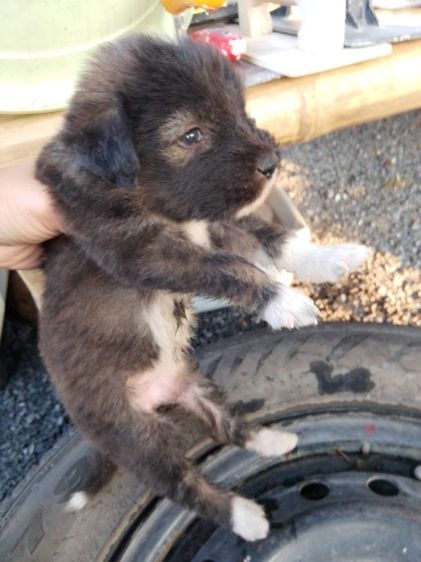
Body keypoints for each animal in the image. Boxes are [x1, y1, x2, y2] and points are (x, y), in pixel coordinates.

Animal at [36, 35, 369, 541]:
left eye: (240, 110)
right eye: (191, 136)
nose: (271, 163)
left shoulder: (212, 223)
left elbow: (270, 240)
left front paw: (330, 258)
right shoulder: (145, 252)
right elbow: (230, 267)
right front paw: (284, 301)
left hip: (195, 381)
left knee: (226, 425)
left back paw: (273, 439)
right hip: (136, 436)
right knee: (181, 482)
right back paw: (245, 516)